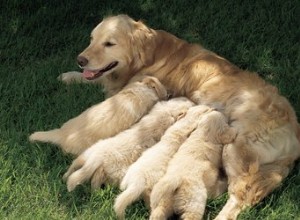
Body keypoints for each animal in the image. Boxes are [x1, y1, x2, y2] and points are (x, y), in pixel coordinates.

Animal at [63, 97, 195, 192]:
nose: (192, 100)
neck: (166, 112)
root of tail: (97, 158)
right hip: (112, 171)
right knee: (95, 179)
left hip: (86, 154)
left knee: (75, 166)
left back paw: (65, 176)